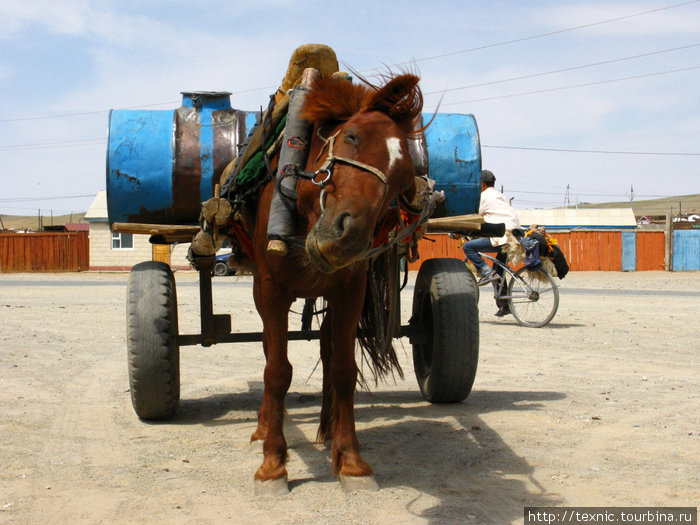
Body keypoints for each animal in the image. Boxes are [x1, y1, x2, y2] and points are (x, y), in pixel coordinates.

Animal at [235, 71, 424, 494]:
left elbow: (343, 370)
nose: (347, 239)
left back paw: (328, 428)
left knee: (325, 347)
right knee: (269, 350)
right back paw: (263, 428)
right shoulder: (271, 291)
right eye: (351, 136)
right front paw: (273, 464)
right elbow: (277, 371)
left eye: (403, 177)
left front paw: (350, 460)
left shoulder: (350, 293)